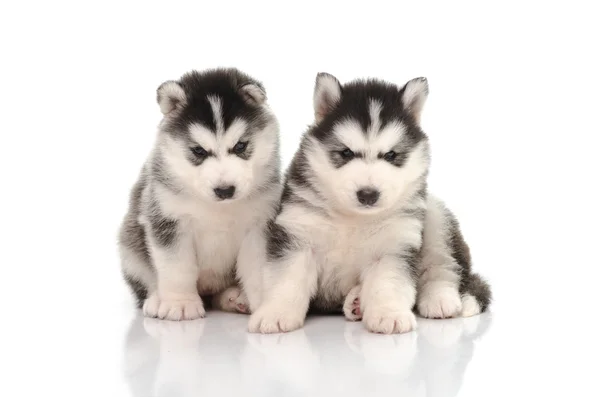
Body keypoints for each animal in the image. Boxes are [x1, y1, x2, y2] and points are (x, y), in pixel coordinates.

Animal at [120, 68, 282, 320]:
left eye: (240, 146)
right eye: (198, 151)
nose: (225, 190)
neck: (217, 207)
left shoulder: (258, 224)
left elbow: (257, 268)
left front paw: (266, 304)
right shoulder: (168, 220)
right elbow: (177, 267)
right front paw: (180, 303)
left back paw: (234, 297)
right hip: (129, 243)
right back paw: (156, 299)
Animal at [245, 73, 492, 332]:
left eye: (391, 155)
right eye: (346, 153)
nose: (368, 194)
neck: (353, 218)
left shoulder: (394, 245)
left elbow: (388, 283)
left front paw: (389, 314)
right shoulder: (298, 234)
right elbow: (287, 278)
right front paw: (276, 313)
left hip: (435, 215)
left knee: (444, 266)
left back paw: (440, 299)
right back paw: (355, 302)